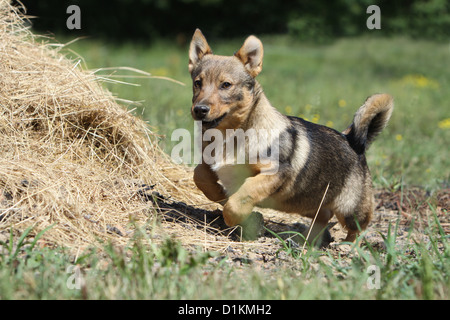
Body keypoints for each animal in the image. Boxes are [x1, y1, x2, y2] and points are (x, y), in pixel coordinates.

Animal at [188, 29, 392, 245]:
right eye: (197, 83)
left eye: (226, 85)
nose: (199, 109)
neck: (230, 135)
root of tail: (352, 140)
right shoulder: (210, 164)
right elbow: (199, 175)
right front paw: (219, 193)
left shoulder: (276, 171)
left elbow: (243, 195)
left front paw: (240, 218)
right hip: (308, 203)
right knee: (324, 215)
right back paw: (309, 241)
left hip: (350, 210)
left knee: (358, 228)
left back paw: (348, 246)